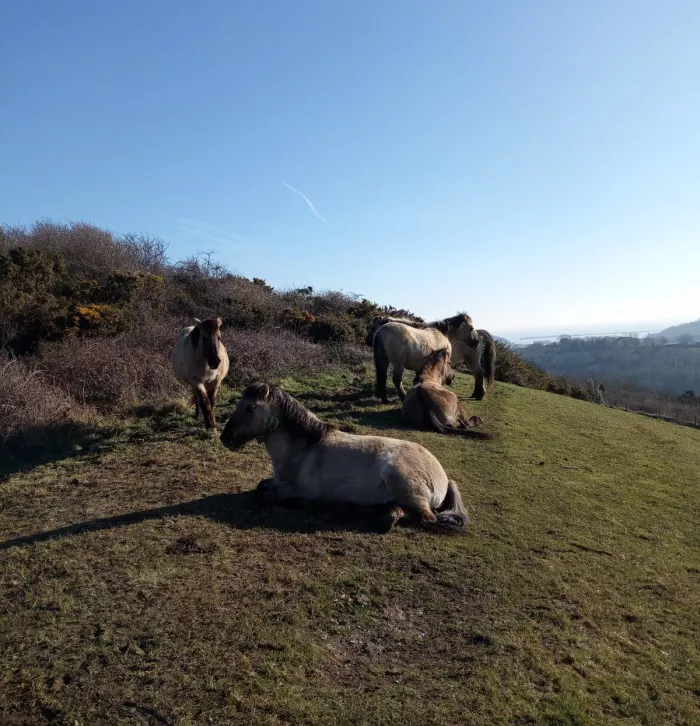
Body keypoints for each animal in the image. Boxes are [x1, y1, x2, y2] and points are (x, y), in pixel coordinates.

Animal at [219, 386, 470, 536]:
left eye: (250, 408)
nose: (225, 438)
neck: (302, 448)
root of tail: (444, 477)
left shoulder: (296, 488)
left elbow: (269, 495)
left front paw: (303, 503)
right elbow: (261, 485)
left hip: (400, 479)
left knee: (427, 518)